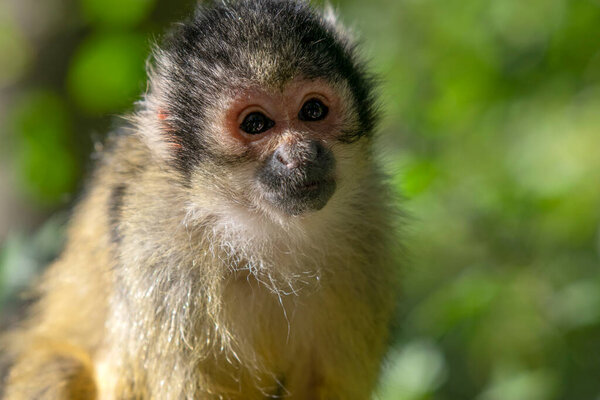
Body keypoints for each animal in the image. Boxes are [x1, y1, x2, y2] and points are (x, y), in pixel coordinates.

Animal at [2, 1, 400, 398]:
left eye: (313, 111)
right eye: (256, 124)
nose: (300, 154)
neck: (261, 233)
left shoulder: (368, 233)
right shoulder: (159, 250)